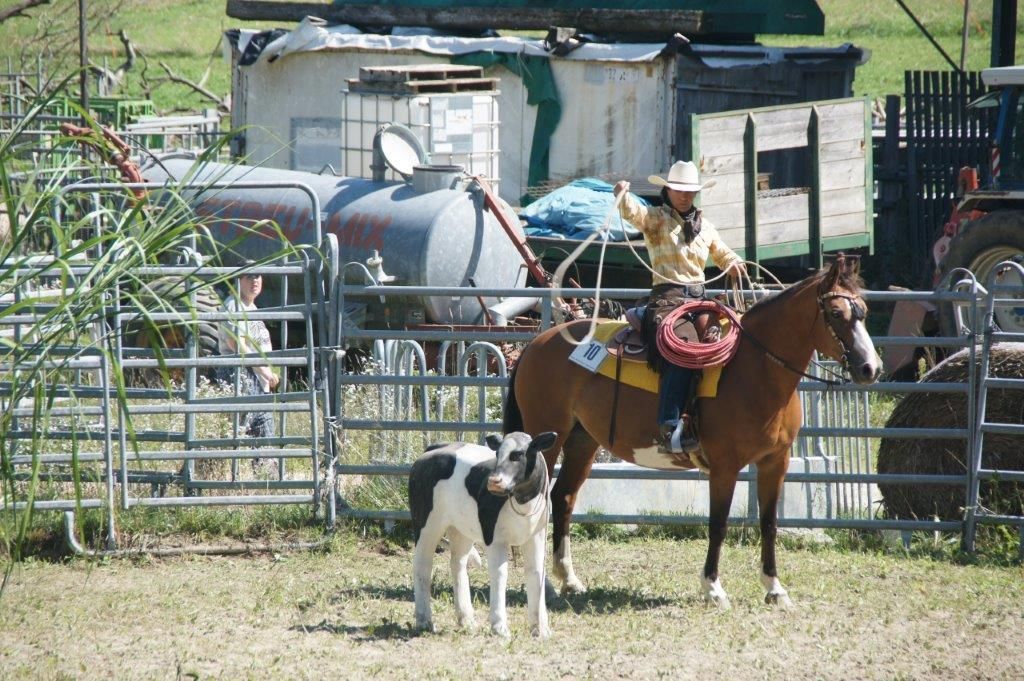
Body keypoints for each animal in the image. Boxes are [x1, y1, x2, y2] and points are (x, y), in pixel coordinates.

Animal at [502, 257, 880, 608]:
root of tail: (537, 343)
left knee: (563, 498)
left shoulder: (776, 462)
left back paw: (569, 580)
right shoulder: (725, 466)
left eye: (864, 312)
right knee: (536, 502)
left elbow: (769, 524)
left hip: (583, 441)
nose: (870, 368)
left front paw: (774, 588)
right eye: (836, 312)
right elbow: (718, 524)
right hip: (547, 440)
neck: (754, 370)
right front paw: (713, 589)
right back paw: (545, 586)